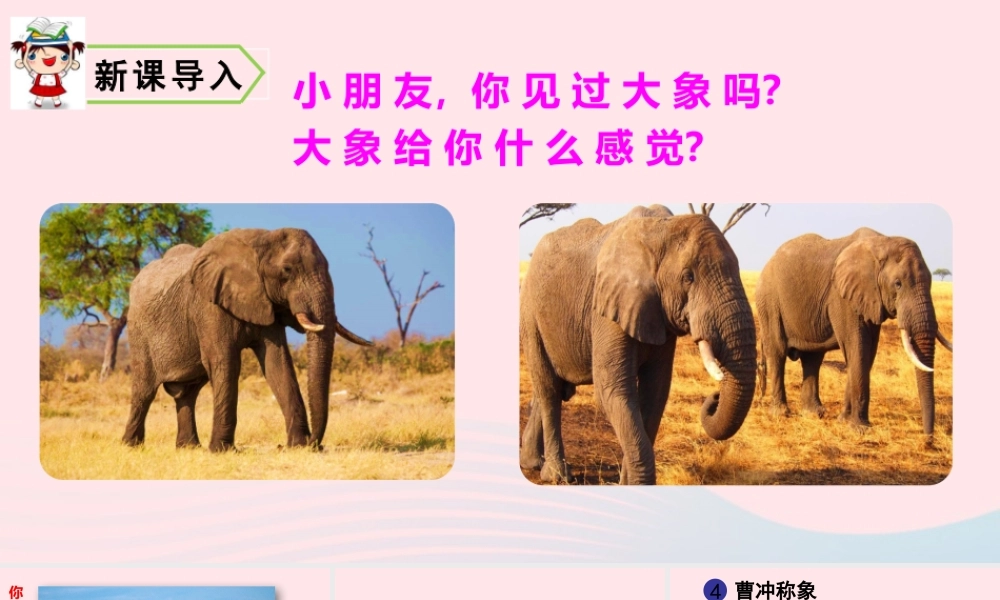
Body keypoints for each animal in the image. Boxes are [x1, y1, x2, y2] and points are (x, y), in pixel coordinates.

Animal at [122, 228, 373, 452]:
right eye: (287, 270)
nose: (316, 444)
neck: (261, 241)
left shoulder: (265, 302)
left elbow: (277, 364)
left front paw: (298, 446)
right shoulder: (209, 304)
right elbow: (225, 363)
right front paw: (222, 450)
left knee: (187, 393)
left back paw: (188, 448)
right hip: (139, 331)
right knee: (145, 389)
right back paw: (131, 446)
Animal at [519, 205, 759, 485]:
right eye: (688, 277)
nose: (716, 395)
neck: (661, 229)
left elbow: (655, 392)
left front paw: (628, 483)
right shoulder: (606, 305)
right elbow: (613, 389)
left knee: (553, 390)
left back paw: (532, 463)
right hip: (530, 315)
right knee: (548, 389)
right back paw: (556, 476)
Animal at [755, 227, 953, 434]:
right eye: (898, 283)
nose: (928, 437)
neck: (882, 242)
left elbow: (866, 354)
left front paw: (844, 420)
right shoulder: (842, 297)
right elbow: (857, 348)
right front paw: (860, 429)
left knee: (813, 358)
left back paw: (813, 414)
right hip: (769, 302)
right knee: (777, 352)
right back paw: (780, 414)